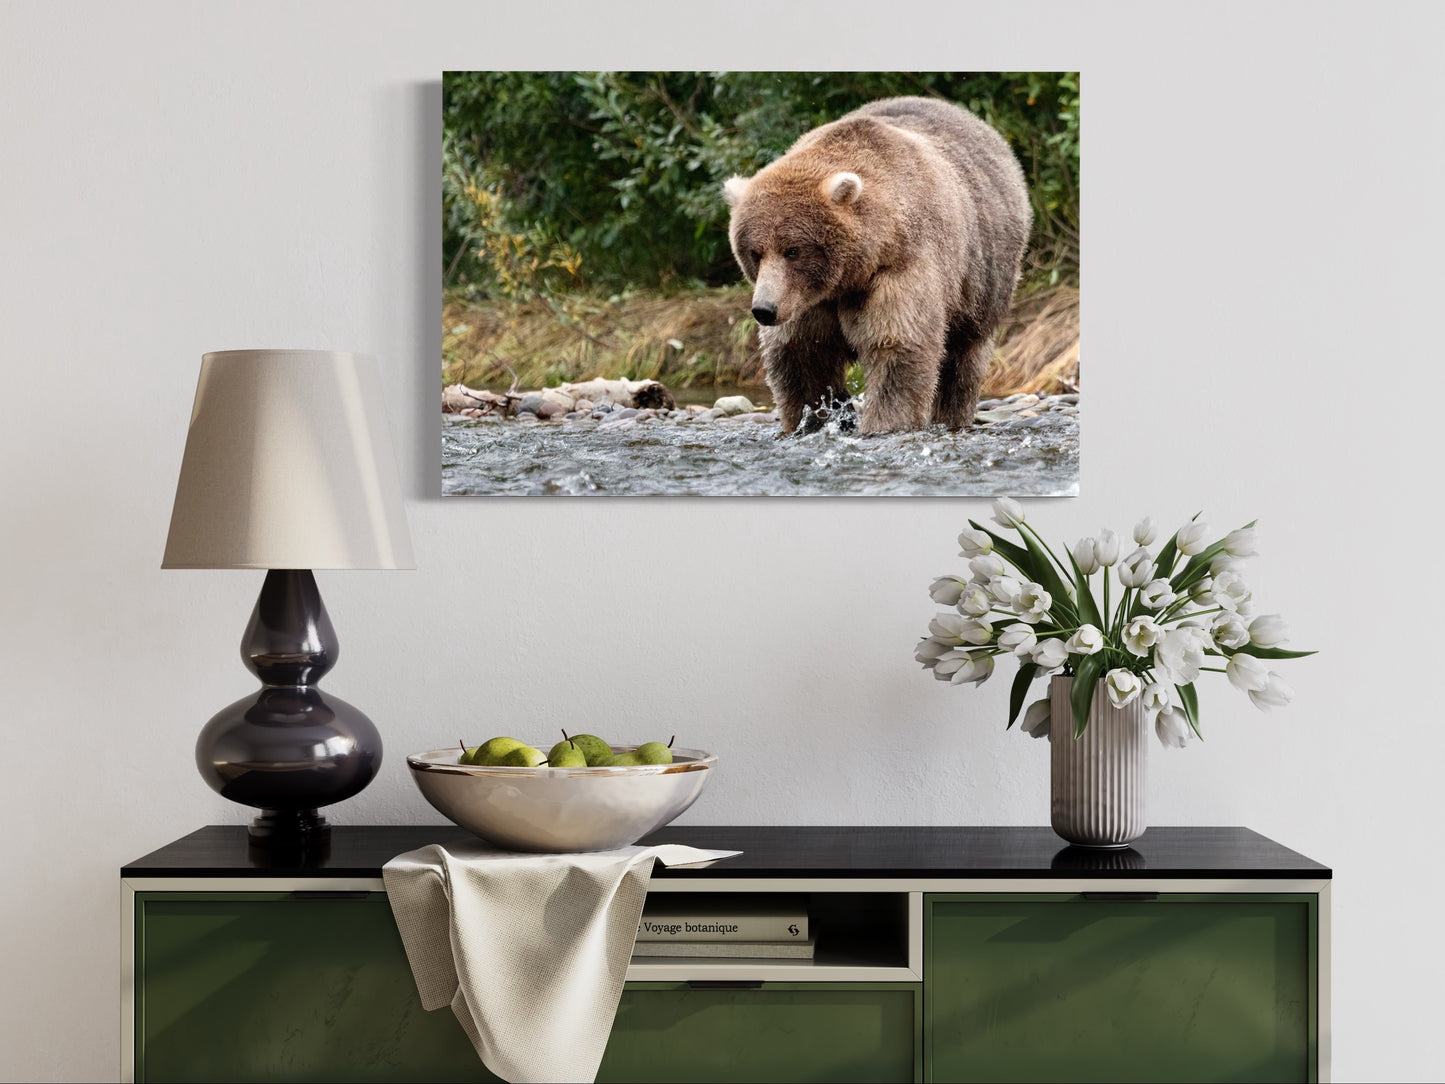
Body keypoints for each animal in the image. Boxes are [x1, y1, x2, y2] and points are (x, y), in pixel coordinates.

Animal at [723, 97, 1032, 434]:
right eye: (755, 252)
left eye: (792, 250)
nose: (764, 309)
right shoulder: (806, 301)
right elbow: (801, 354)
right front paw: (814, 419)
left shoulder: (900, 266)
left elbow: (896, 343)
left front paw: (884, 422)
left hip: (982, 273)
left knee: (964, 354)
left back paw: (951, 416)